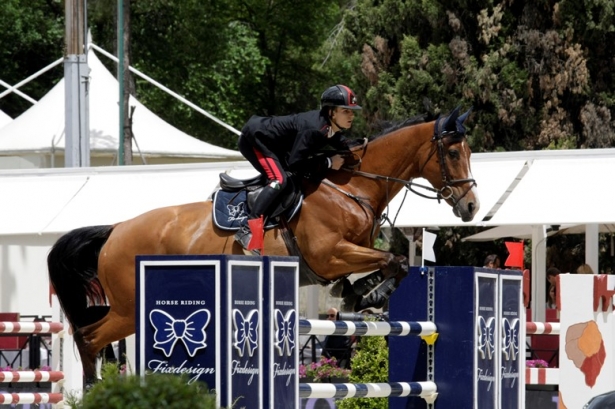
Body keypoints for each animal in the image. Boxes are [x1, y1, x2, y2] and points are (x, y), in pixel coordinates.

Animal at [49, 104, 482, 382]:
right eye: (453, 152)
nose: (471, 207)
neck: (352, 186)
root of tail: (115, 229)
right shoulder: (329, 255)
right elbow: (393, 260)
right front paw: (367, 295)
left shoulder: (344, 255)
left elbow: (393, 263)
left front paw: (358, 293)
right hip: (128, 307)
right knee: (88, 338)